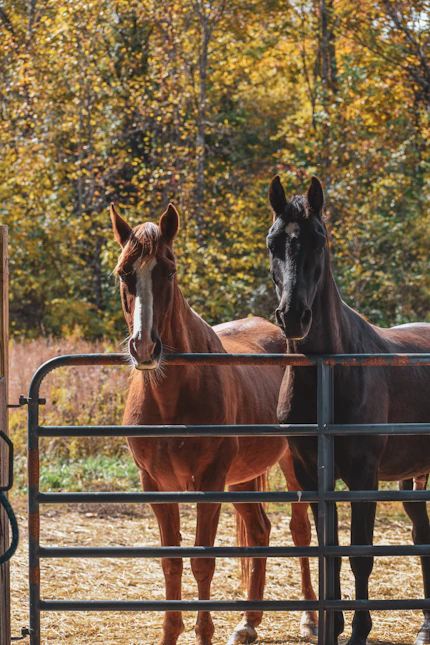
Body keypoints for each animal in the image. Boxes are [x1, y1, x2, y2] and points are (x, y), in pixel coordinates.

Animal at [110, 202, 318, 645]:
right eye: (124, 272)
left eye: (169, 271)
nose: (145, 346)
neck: (170, 396)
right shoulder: (155, 485)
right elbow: (172, 561)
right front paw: (170, 633)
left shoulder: (209, 482)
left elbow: (203, 563)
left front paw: (203, 632)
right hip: (240, 480)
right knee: (259, 531)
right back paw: (248, 622)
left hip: (291, 464)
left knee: (300, 530)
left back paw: (310, 618)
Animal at [266, 174, 430, 645]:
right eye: (273, 243)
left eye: (319, 240)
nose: (294, 317)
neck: (328, 374)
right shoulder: (310, 475)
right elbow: (331, 552)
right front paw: (331, 625)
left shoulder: (362, 475)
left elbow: (360, 554)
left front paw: (358, 630)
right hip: (413, 478)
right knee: (422, 533)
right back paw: (426, 626)